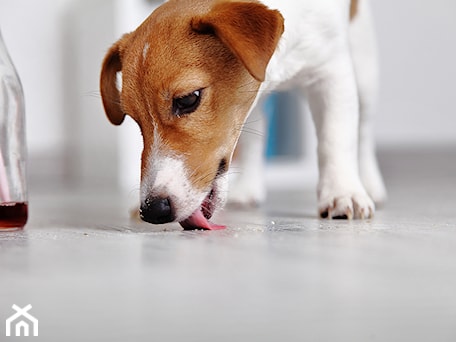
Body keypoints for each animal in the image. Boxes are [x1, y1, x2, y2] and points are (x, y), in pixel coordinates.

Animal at [99, 0, 384, 231]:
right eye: (134, 118)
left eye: (188, 99)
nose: (152, 210)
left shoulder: (332, 72)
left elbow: (335, 139)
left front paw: (342, 193)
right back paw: (247, 188)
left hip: (365, 68)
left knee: (364, 130)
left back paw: (371, 184)